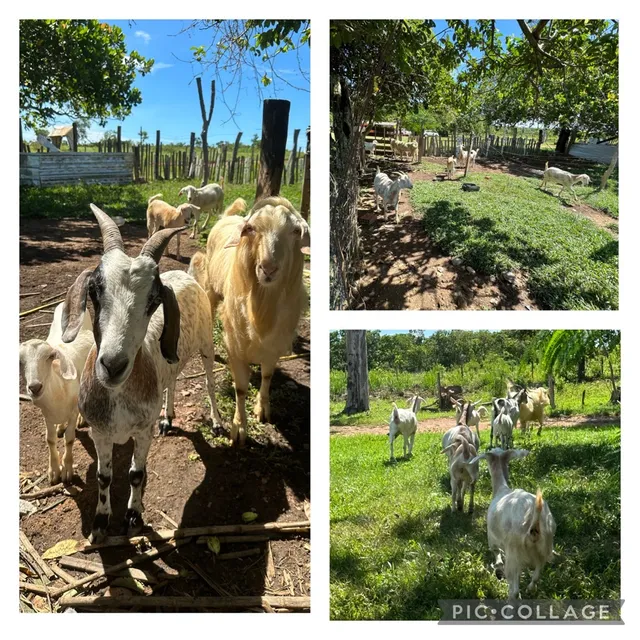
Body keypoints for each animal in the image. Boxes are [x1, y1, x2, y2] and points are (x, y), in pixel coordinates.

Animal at [19, 303, 94, 485]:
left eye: (50, 356)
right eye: (20, 362)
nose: (35, 387)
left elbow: (70, 439)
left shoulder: (72, 411)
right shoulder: (46, 414)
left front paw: (67, 470)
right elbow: (50, 439)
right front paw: (53, 471)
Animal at [61, 205, 222, 543]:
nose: (113, 365)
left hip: (206, 347)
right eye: (94, 289)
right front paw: (100, 523)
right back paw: (168, 419)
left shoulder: (142, 431)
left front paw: (133, 518)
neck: (120, 396)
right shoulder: (100, 432)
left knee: (211, 384)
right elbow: (104, 476)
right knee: (172, 382)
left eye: (154, 299)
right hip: (172, 361)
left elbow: (136, 474)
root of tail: (186, 276)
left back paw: (216, 423)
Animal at [191, 197, 309, 447]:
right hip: (210, 289)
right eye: (251, 229)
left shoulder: (274, 347)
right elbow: (241, 388)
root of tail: (229, 216)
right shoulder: (235, 347)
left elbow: (267, 376)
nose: (268, 268)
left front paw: (262, 409)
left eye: (295, 231)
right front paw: (239, 427)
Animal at [470, 448, 556, 599]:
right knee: (536, 577)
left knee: (514, 590)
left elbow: (497, 555)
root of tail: (533, 526)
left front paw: (498, 570)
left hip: (514, 555)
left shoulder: (492, 539)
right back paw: (530, 589)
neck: (501, 489)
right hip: (544, 549)